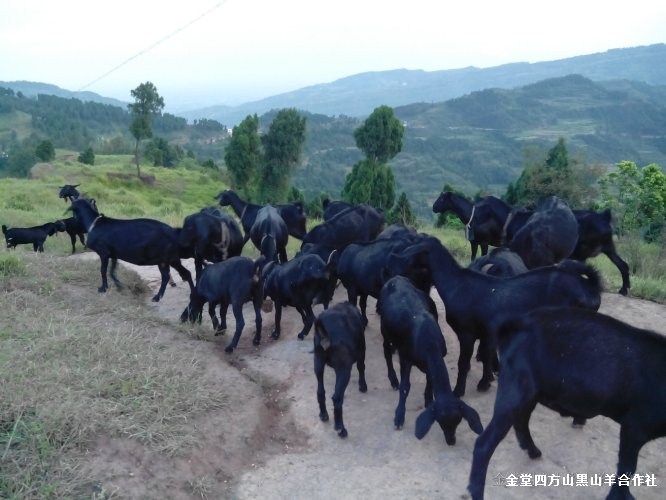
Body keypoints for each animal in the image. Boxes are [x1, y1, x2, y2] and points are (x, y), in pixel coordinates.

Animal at [312, 300, 366, 438]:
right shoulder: (361, 350)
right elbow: (361, 366)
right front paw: (363, 386)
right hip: (343, 369)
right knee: (337, 398)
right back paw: (341, 429)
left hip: (318, 361)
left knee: (320, 391)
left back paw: (323, 415)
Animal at [376, 278, 480, 446]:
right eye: (440, 421)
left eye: (458, 421)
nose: (451, 441)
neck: (428, 342)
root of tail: (395, 278)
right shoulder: (406, 359)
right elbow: (405, 387)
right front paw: (399, 417)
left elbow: (429, 379)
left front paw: (428, 399)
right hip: (384, 330)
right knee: (386, 351)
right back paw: (393, 379)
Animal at [384, 236, 600, 396]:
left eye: (412, 249)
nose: (392, 257)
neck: (457, 285)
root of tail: (589, 289)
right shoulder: (486, 333)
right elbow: (487, 354)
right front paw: (486, 382)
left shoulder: (467, 333)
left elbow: (464, 362)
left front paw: (459, 391)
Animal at [466, 306, 664, 500]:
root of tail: (513, 325)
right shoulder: (634, 426)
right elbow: (627, 467)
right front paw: (620, 496)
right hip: (516, 388)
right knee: (485, 444)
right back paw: (476, 491)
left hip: (529, 392)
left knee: (521, 420)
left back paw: (533, 451)